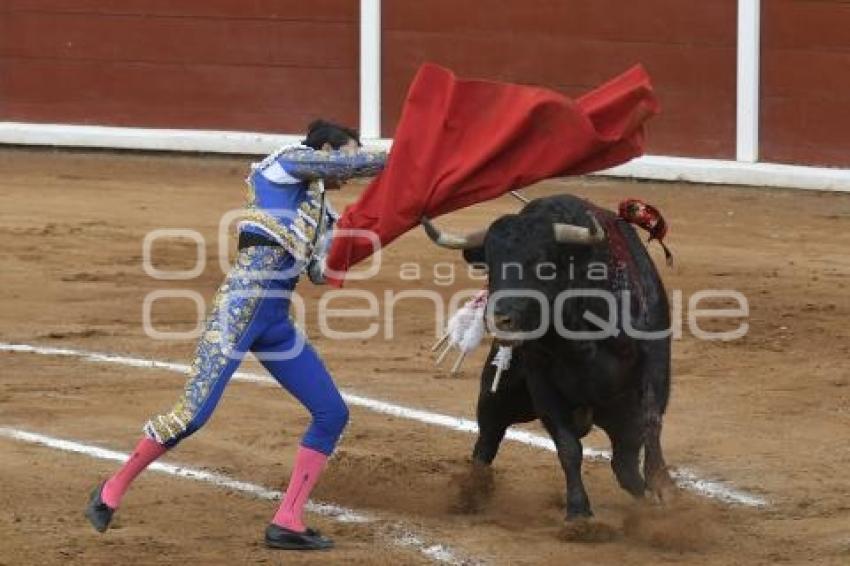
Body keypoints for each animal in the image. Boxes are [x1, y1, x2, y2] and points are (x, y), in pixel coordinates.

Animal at [424, 195, 676, 524]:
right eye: (490, 266)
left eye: (543, 264)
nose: (499, 320)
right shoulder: (542, 382)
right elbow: (568, 447)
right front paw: (579, 512)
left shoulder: (653, 363)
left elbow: (651, 418)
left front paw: (661, 485)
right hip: (498, 397)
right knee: (486, 442)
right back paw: (471, 494)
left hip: (620, 417)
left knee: (625, 465)